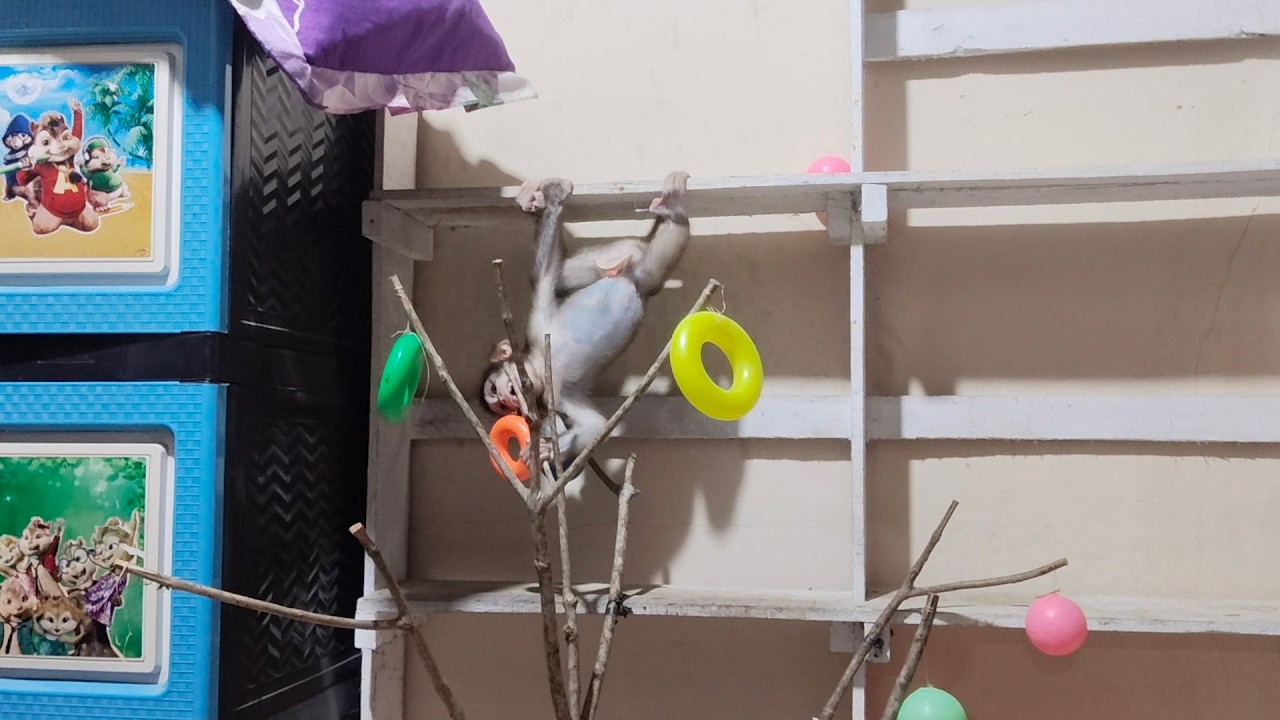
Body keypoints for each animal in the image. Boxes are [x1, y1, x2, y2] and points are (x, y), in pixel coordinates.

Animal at [480, 171, 691, 472]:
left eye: (496, 390)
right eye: (501, 406)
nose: (507, 398)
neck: (539, 367)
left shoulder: (537, 333)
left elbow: (544, 276)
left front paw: (553, 202)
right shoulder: (557, 395)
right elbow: (595, 426)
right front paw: (546, 450)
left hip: (621, 256)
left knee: (570, 274)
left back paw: (673, 210)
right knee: (645, 271)